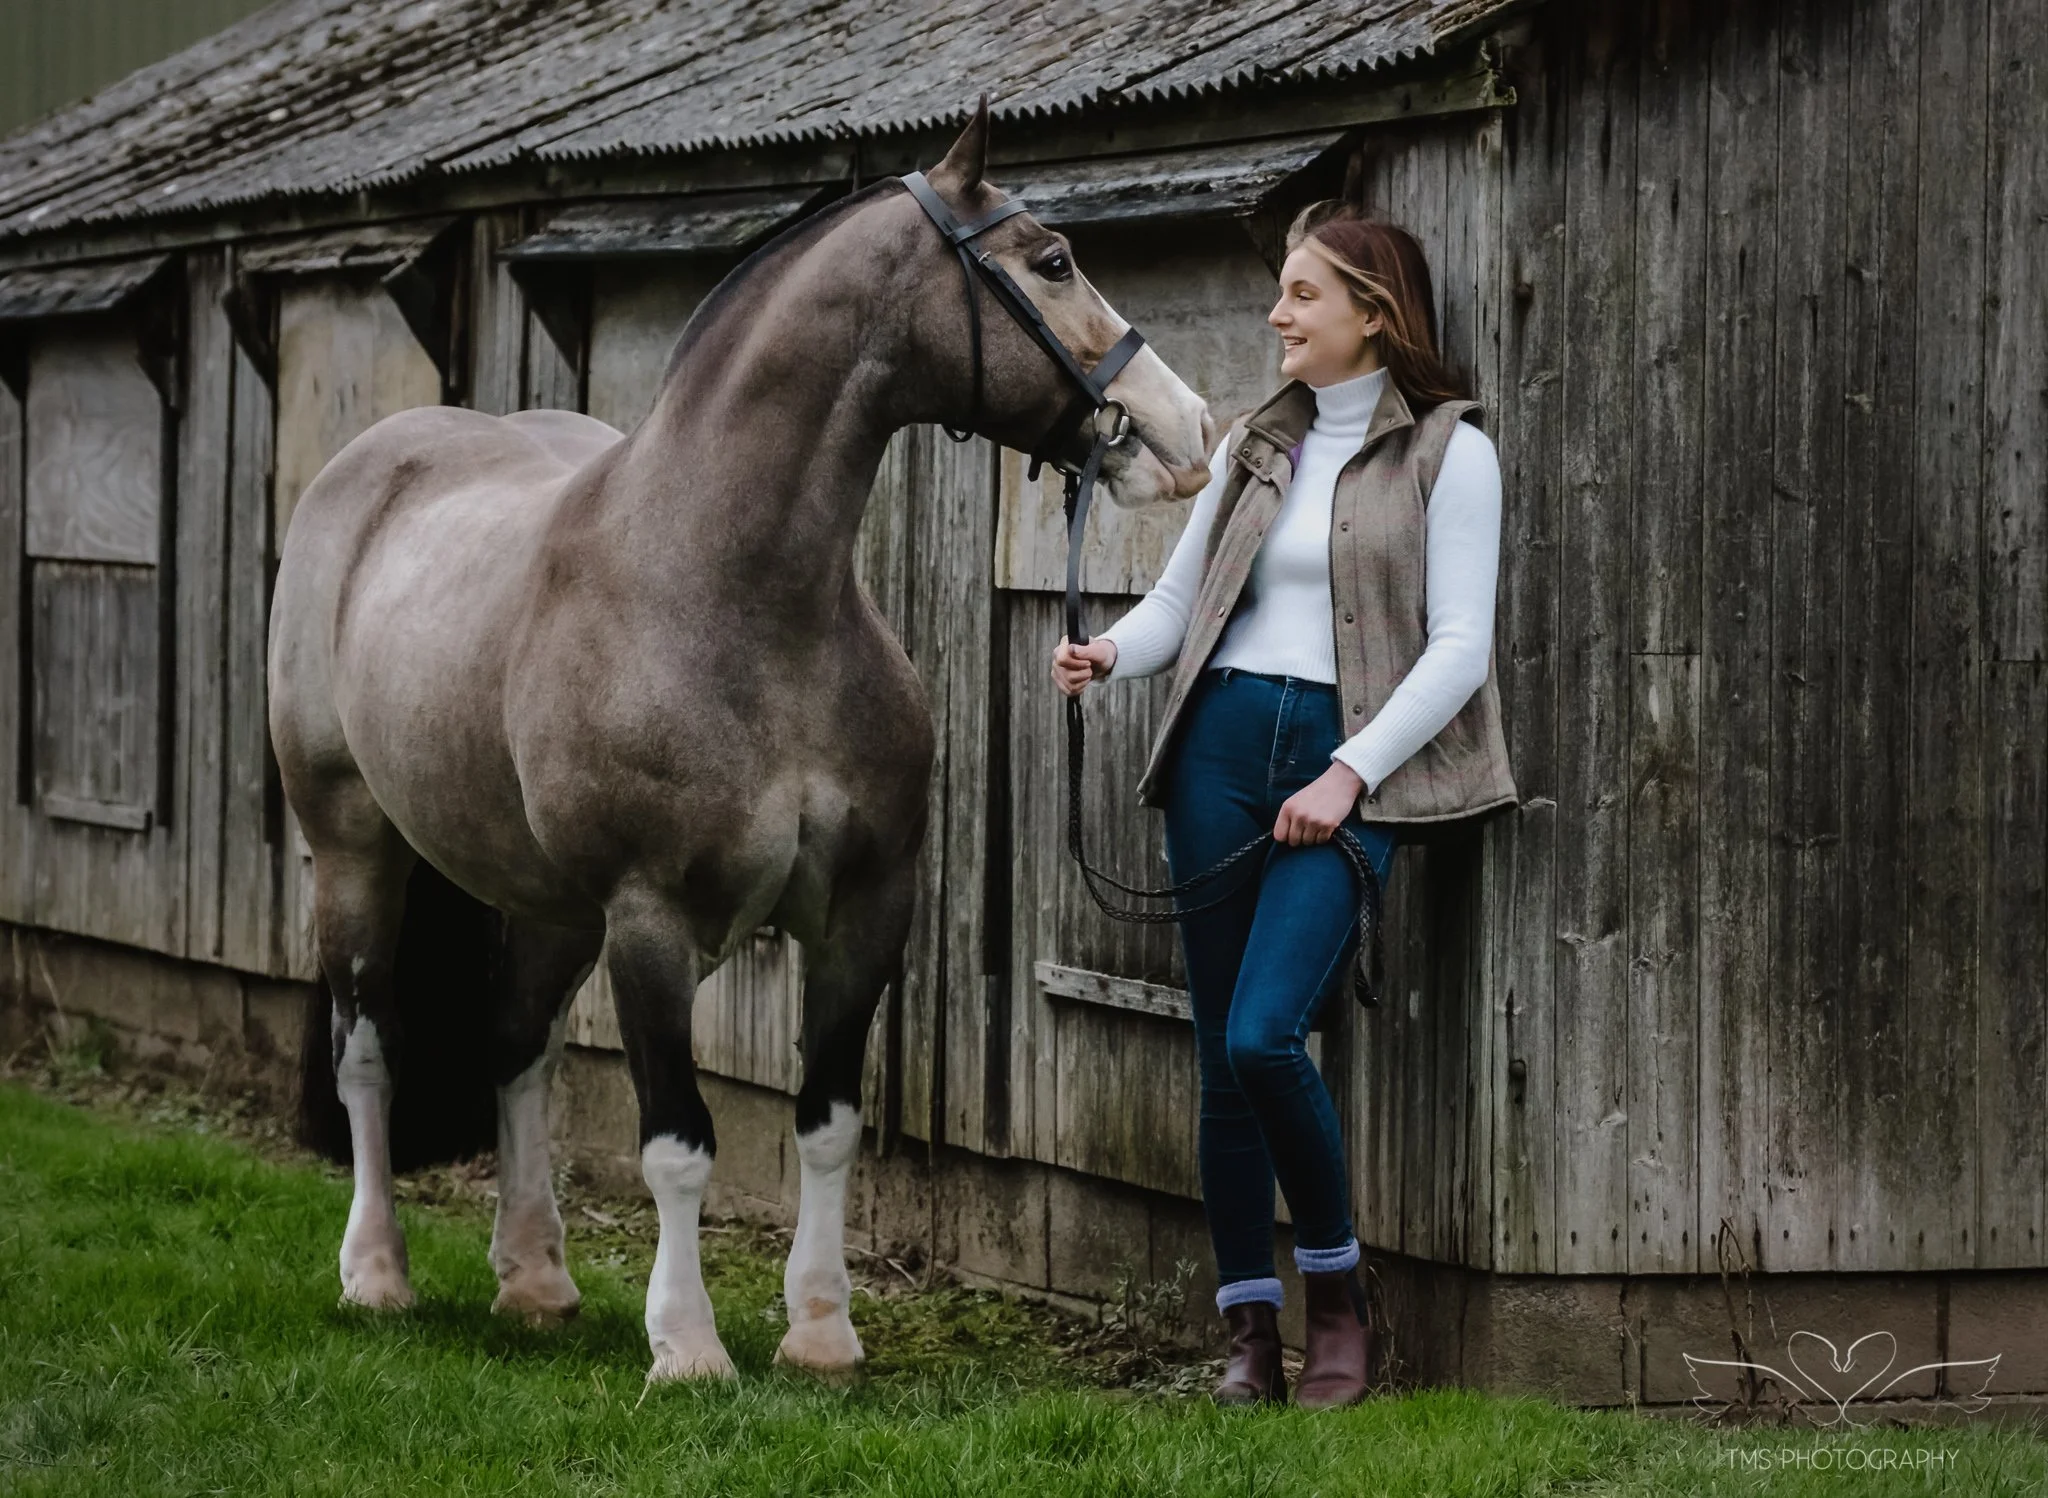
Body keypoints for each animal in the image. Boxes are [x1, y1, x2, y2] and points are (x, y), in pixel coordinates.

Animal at [268, 98, 1215, 1382]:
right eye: (1054, 261)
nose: (1187, 430)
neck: (732, 592)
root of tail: (375, 460)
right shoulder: (650, 918)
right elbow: (678, 1140)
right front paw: (687, 1345)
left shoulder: (865, 908)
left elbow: (827, 1120)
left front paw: (819, 1329)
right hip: (357, 850)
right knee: (370, 1047)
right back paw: (375, 1273)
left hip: (551, 905)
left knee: (518, 1047)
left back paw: (536, 1278)